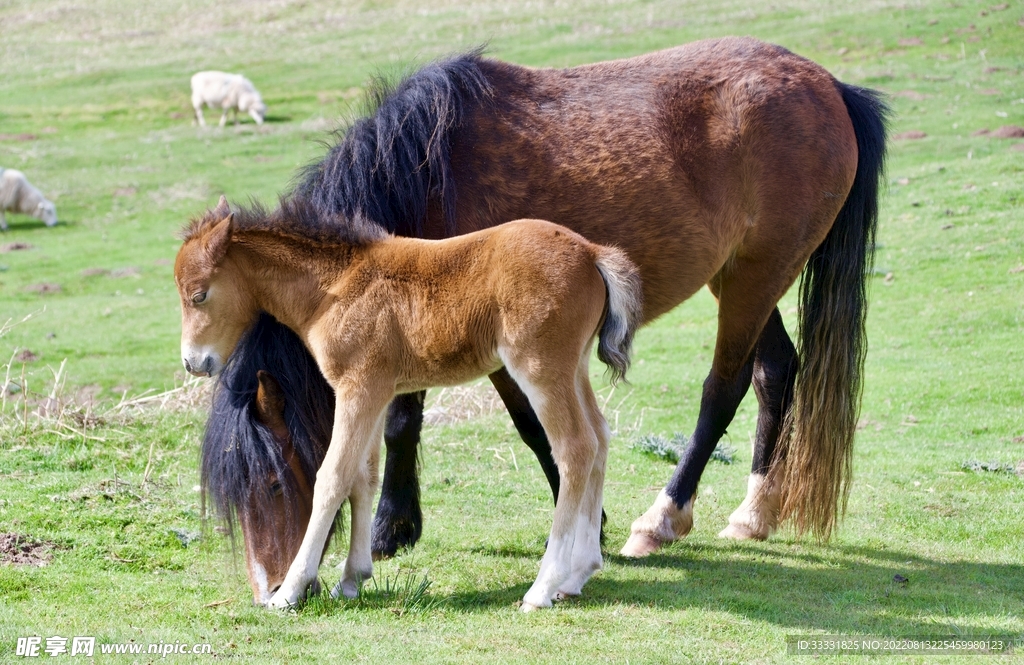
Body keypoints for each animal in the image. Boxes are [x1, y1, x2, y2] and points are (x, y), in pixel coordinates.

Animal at [176, 197, 644, 610]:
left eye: (199, 296)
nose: (193, 362)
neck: (334, 287)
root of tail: (591, 253)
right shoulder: (377, 392)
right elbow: (362, 476)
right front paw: (351, 580)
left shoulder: (357, 388)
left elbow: (333, 477)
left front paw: (290, 592)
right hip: (573, 367)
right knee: (600, 438)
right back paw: (580, 572)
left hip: (540, 368)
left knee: (575, 449)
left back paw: (542, 588)